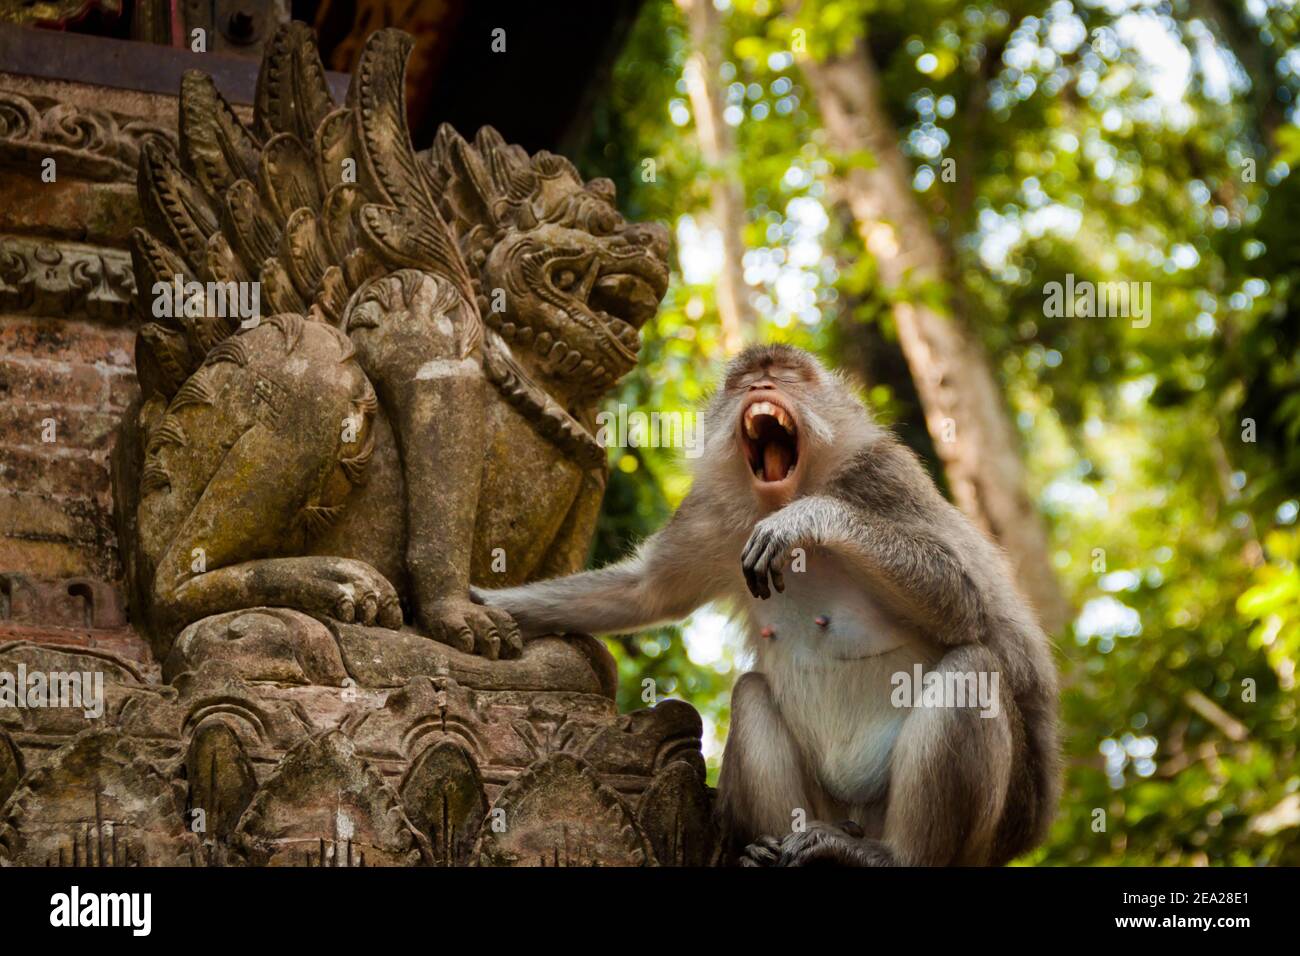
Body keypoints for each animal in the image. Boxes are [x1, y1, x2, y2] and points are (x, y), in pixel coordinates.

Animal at [473, 343, 1060, 866]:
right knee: (753, 693)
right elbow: (644, 591)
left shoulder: (884, 478)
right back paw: (772, 849)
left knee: (973, 666)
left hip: (986, 828)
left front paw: (810, 518)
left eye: (785, 374)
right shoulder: (711, 515)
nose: (761, 386)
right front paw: (476, 606)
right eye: (743, 380)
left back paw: (890, 855)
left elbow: (964, 604)